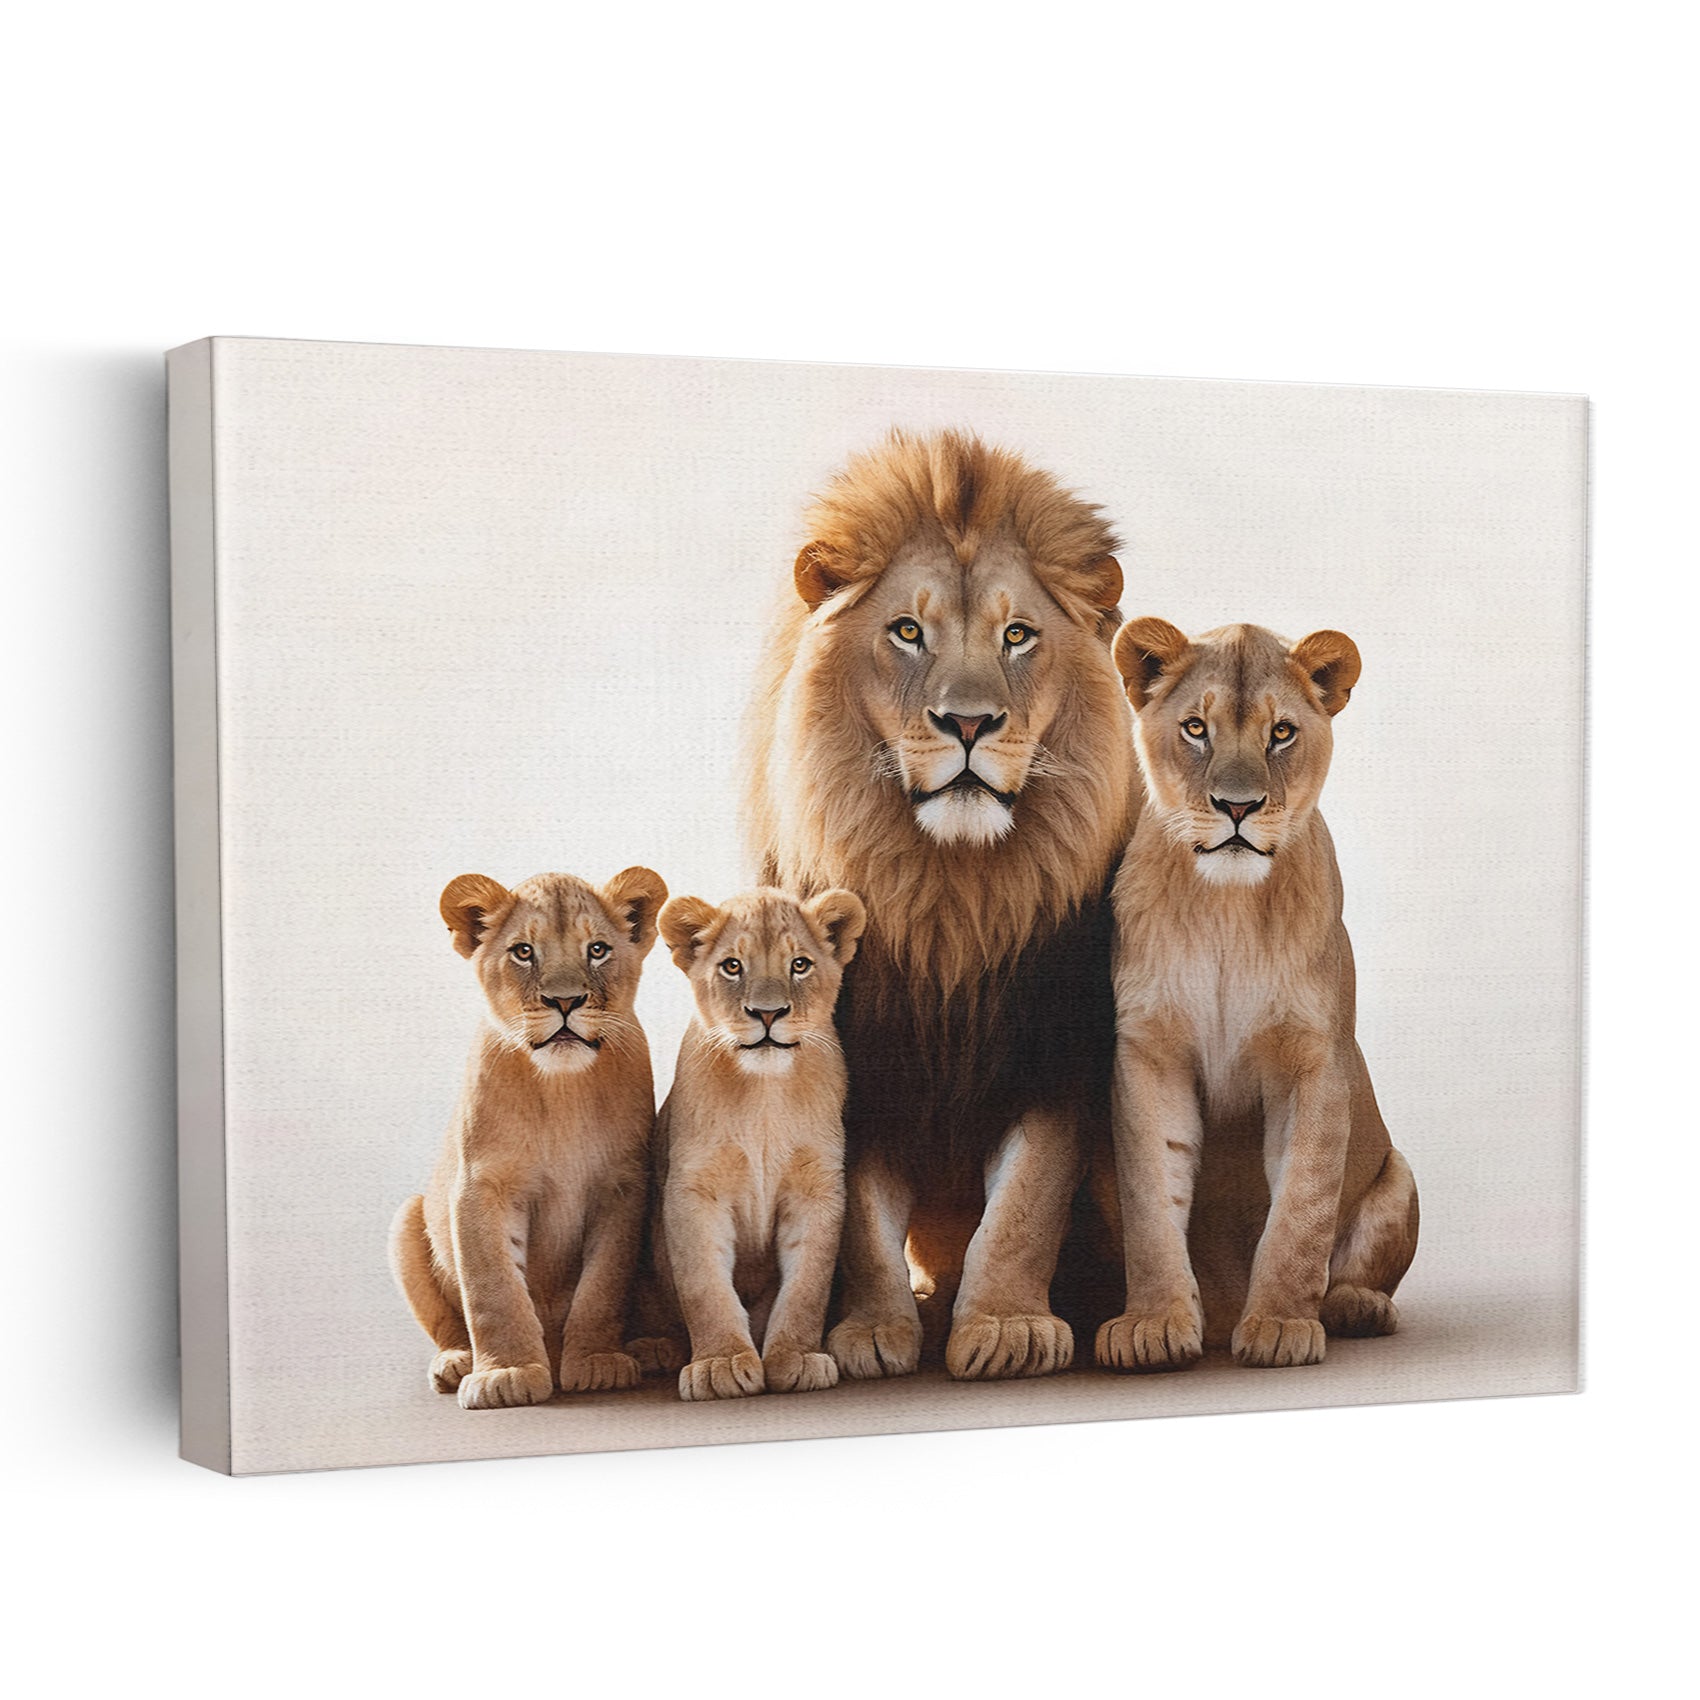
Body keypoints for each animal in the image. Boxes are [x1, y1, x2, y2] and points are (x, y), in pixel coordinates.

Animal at [388, 866, 667, 1408]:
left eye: (597, 950)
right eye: (523, 951)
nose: (565, 1001)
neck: (560, 1090)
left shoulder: (622, 1186)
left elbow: (603, 1286)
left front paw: (598, 1361)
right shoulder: (481, 1186)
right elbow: (493, 1288)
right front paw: (506, 1373)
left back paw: (650, 1350)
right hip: (406, 1219)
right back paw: (456, 1362)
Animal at [649, 886, 866, 1401]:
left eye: (800, 964)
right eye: (732, 966)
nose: (768, 1013)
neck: (765, 1094)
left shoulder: (818, 1188)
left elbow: (807, 1286)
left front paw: (795, 1358)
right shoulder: (693, 1190)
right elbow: (704, 1285)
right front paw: (720, 1363)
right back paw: (654, 1349)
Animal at [744, 429, 1137, 1381]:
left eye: (1018, 634)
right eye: (908, 631)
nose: (969, 724)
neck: (949, 898)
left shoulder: (1057, 1057)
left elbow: (1024, 1205)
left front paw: (1005, 1328)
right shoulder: (857, 1057)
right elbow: (859, 1220)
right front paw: (872, 1332)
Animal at [1096, 618, 1418, 1371]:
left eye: (1281, 733)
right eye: (1195, 728)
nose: (1238, 807)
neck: (1228, 910)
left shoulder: (1314, 1060)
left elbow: (1301, 1206)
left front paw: (1278, 1324)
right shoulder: (1149, 1054)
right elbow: (1151, 1203)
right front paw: (1153, 1323)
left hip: (1401, 1174)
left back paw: (1354, 1307)